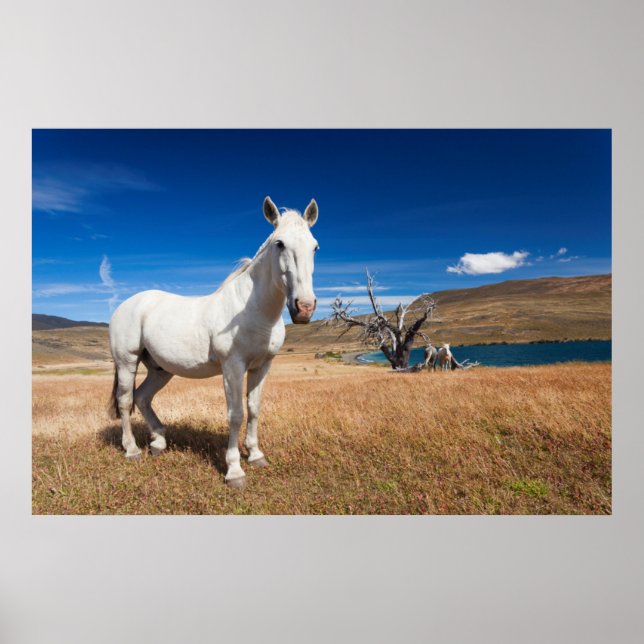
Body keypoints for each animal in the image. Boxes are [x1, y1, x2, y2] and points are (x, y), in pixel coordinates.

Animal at [108, 196, 320, 488]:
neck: (253, 311)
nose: (304, 308)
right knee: (126, 400)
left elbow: (254, 409)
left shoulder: (262, 366)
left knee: (143, 397)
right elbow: (236, 414)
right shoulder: (233, 367)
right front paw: (235, 472)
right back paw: (132, 450)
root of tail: (126, 305)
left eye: (315, 246)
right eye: (280, 243)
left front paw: (256, 455)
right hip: (127, 361)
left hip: (160, 370)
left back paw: (159, 443)